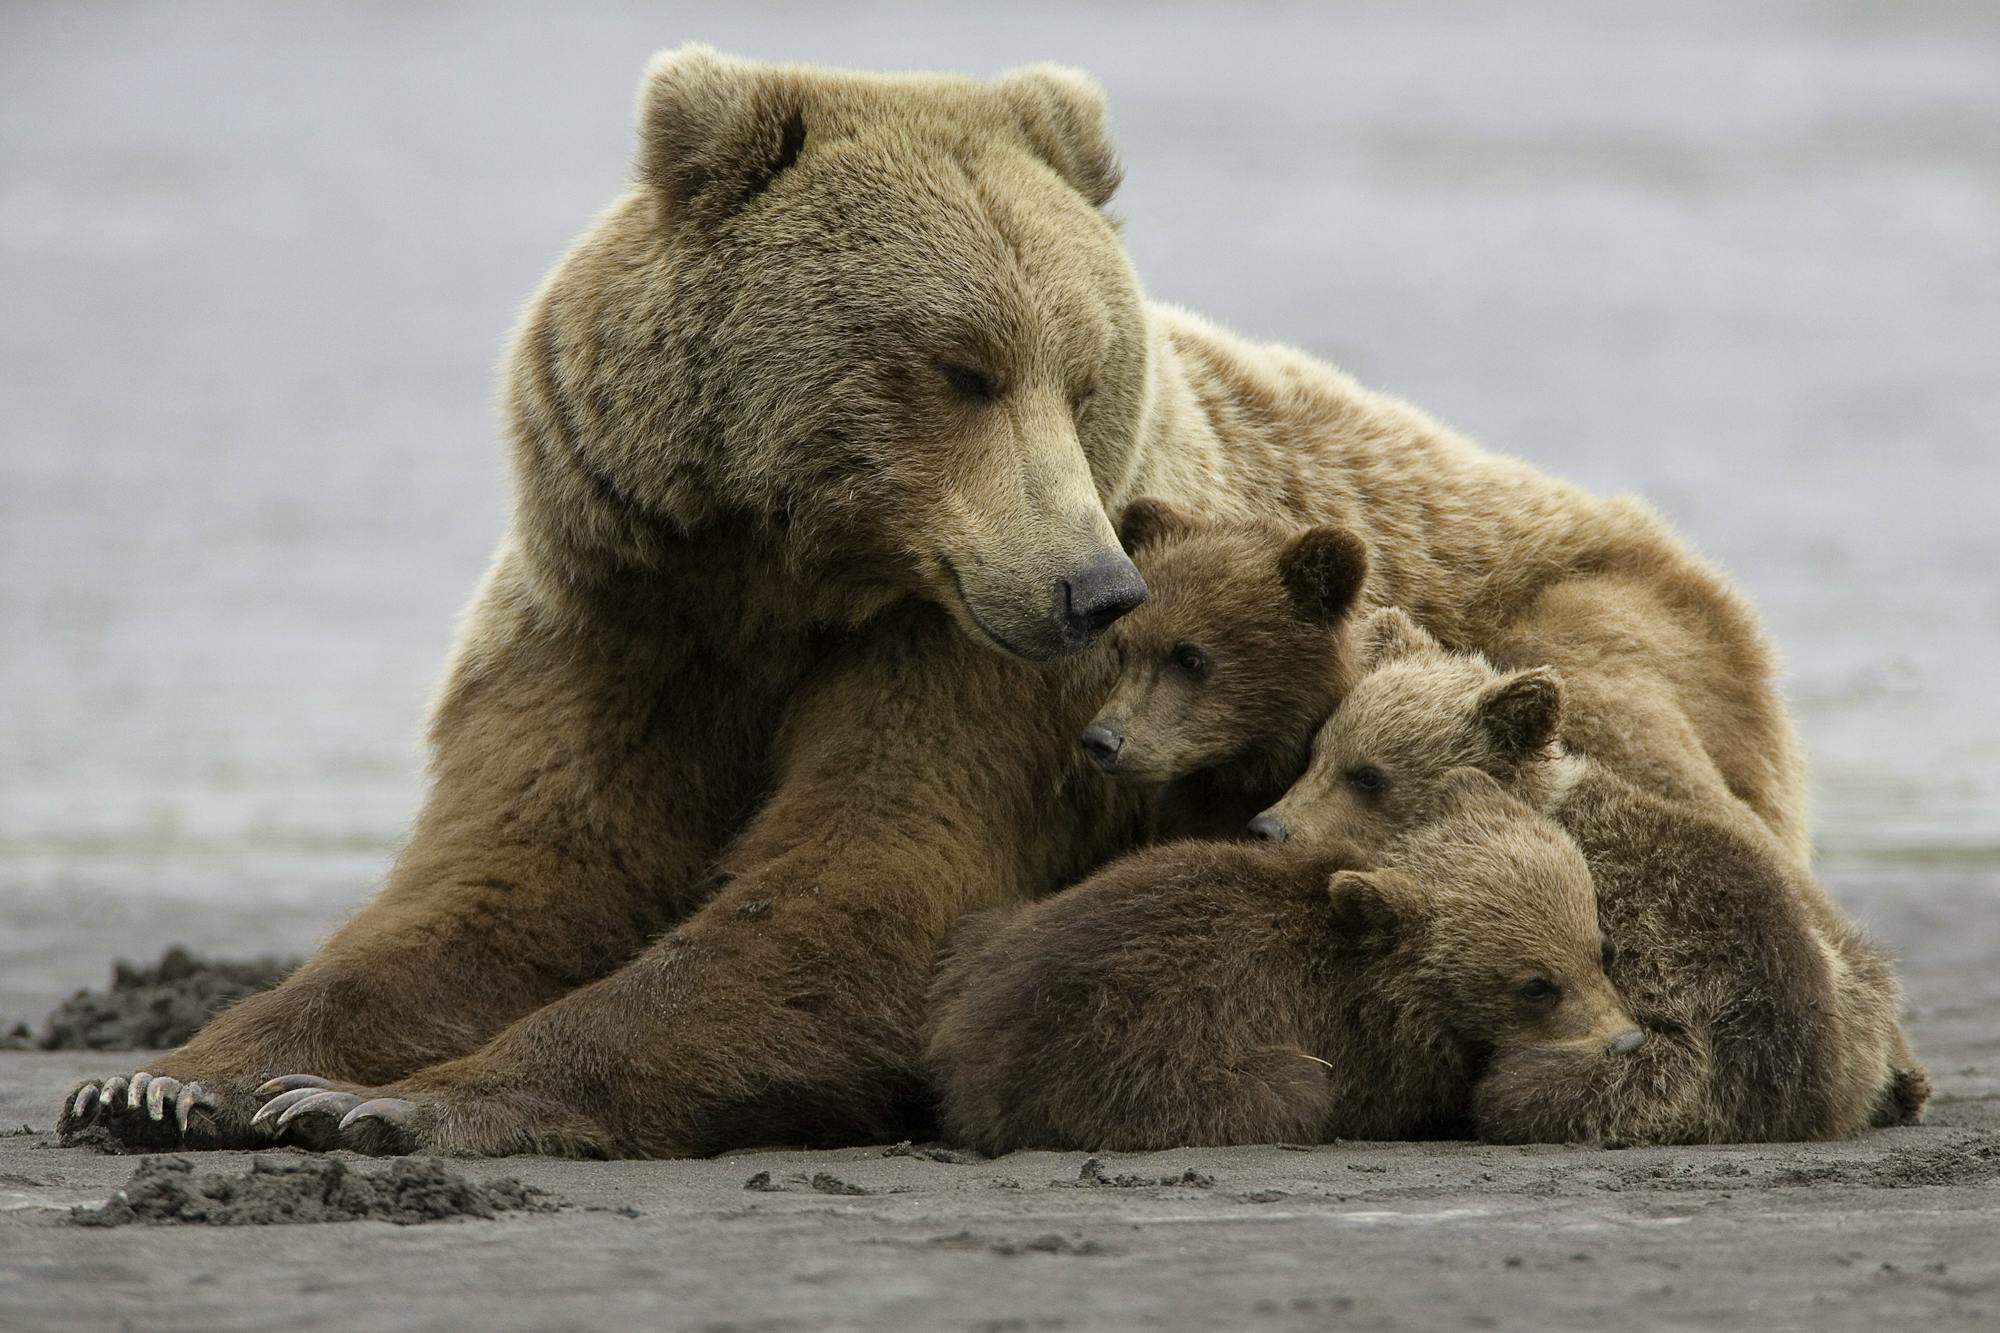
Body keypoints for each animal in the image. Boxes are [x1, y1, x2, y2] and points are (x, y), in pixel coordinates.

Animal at [920, 768, 1640, 1152]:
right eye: (1536, 985)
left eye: (1601, 950)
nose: (1627, 1040)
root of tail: (967, 1056)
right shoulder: (1359, 1043)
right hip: (1137, 1048)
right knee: (1287, 1090)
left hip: (988, 933)